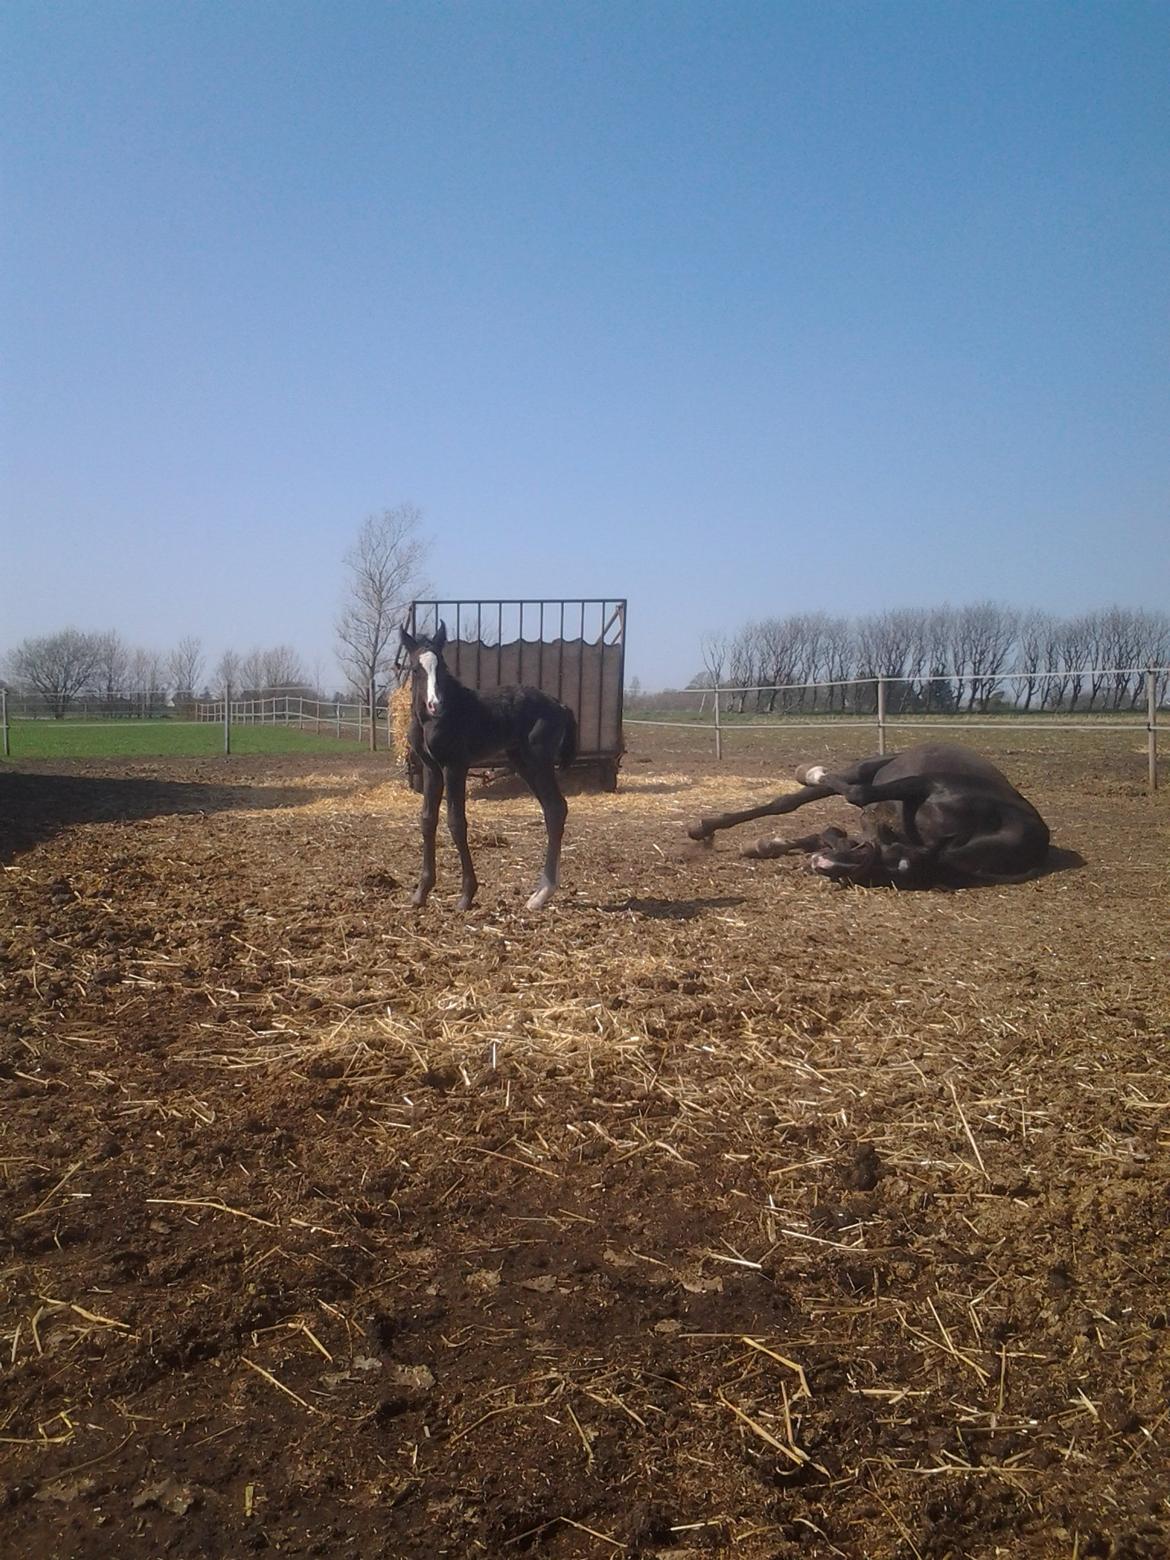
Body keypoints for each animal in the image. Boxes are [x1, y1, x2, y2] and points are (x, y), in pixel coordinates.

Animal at [402, 624, 580, 911]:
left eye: (442, 667)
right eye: (416, 669)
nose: (435, 705)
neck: (431, 721)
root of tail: (561, 705)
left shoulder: (455, 766)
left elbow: (456, 822)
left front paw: (466, 895)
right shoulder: (431, 769)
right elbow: (427, 820)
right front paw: (421, 892)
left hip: (539, 761)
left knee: (555, 808)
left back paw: (541, 894)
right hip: (522, 762)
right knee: (553, 809)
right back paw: (541, 893)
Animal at [686, 745, 1054, 892]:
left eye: (886, 874)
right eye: (881, 858)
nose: (822, 865)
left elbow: (831, 831)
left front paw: (767, 845)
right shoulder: (927, 783)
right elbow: (857, 794)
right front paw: (814, 772)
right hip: (871, 766)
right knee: (792, 799)